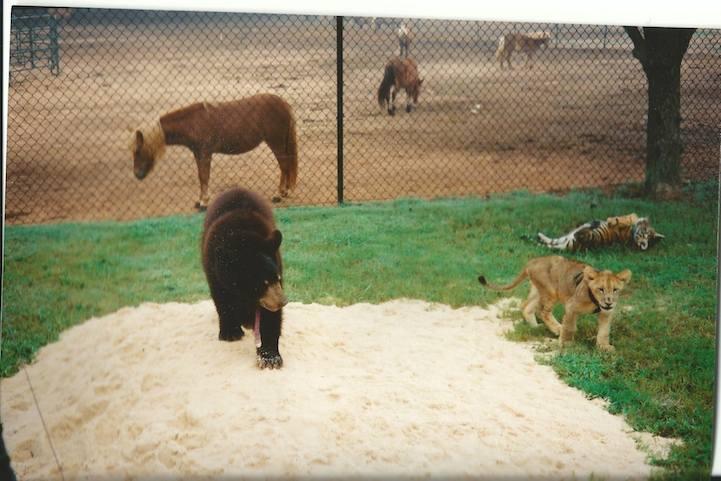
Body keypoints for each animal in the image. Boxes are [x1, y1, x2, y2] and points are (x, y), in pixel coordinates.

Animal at [131, 93, 296, 207]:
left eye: (138, 151)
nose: (137, 174)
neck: (193, 122)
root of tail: (284, 104)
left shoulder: (205, 153)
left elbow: (204, 176)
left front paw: (204, 202)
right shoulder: (198, 154)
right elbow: (201, 176)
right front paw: (200, 200)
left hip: (276, 143)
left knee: (284, 166)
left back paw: (279, 194)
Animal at [201, 187, 288, 368]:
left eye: (276, 278)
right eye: (262, 283)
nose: (283, 301)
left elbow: (269, 316)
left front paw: (270, 356)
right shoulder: (214, 271)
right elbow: (223, 299)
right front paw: (230, 333)